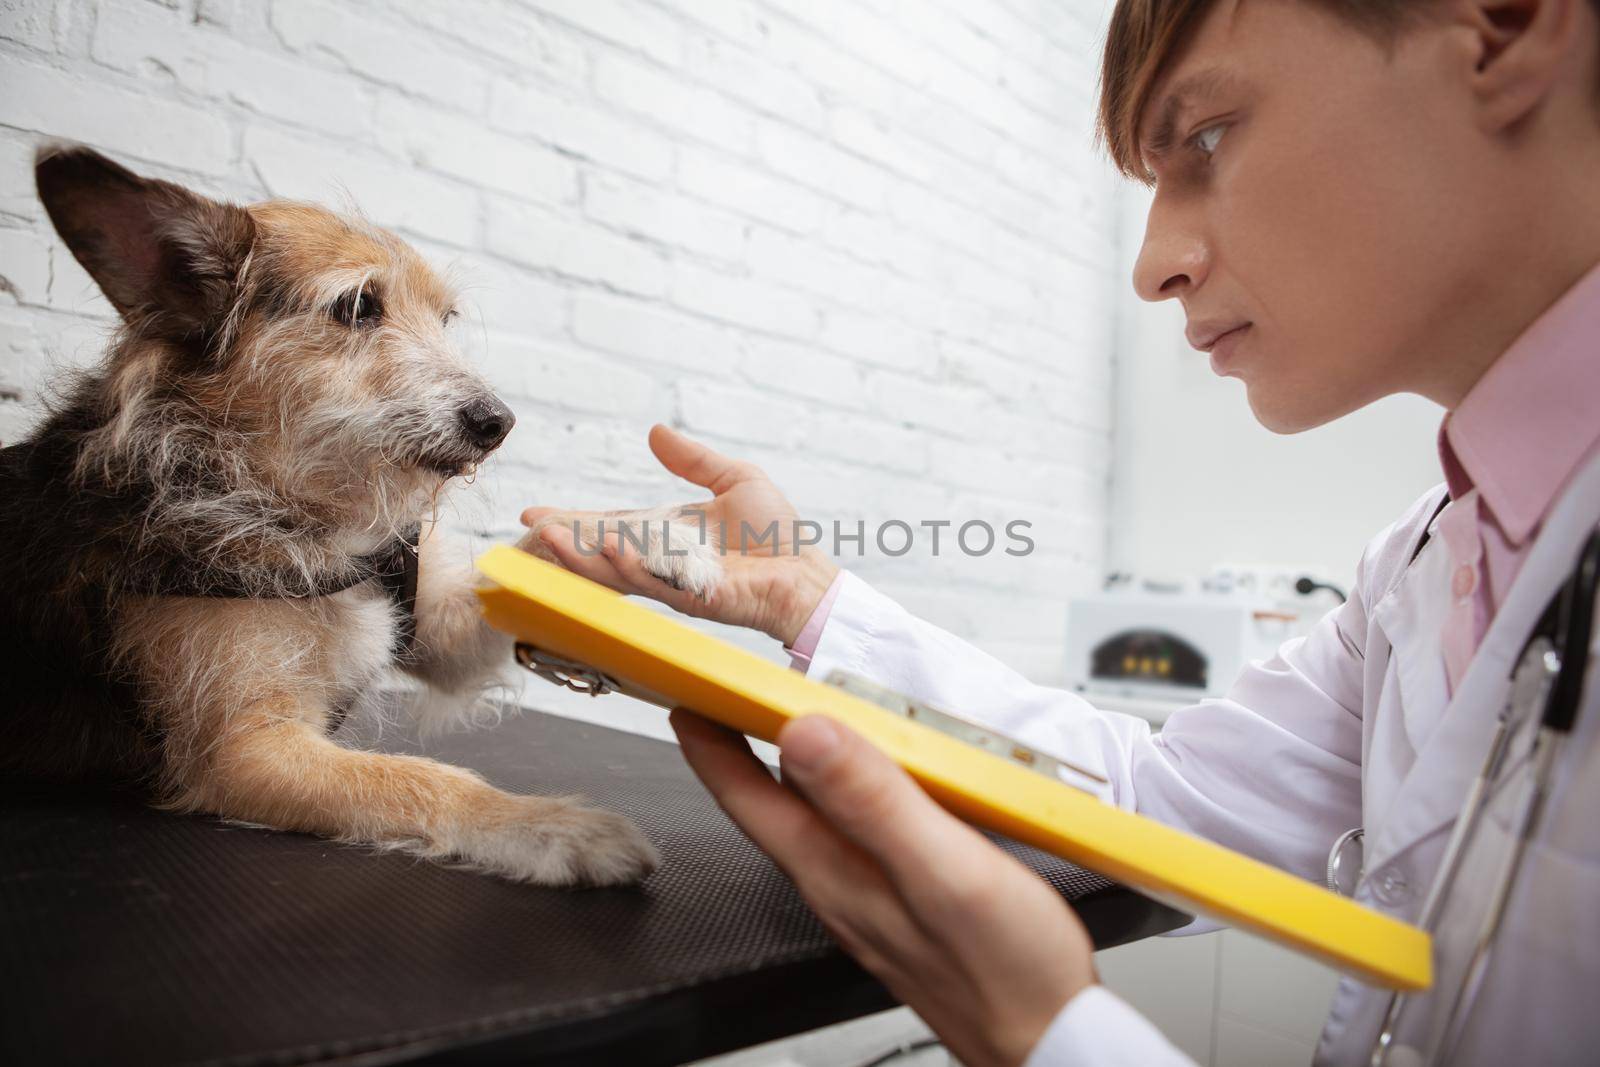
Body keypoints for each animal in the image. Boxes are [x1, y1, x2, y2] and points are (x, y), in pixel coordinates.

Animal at [0, 146, 723, 889]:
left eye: (446, 317)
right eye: (356, 306)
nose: (498, 422)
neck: (303, 512)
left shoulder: (432, 626)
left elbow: (525, 555)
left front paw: (644, 533)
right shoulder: (243, 751)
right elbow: (423, 780)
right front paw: (552, 826)